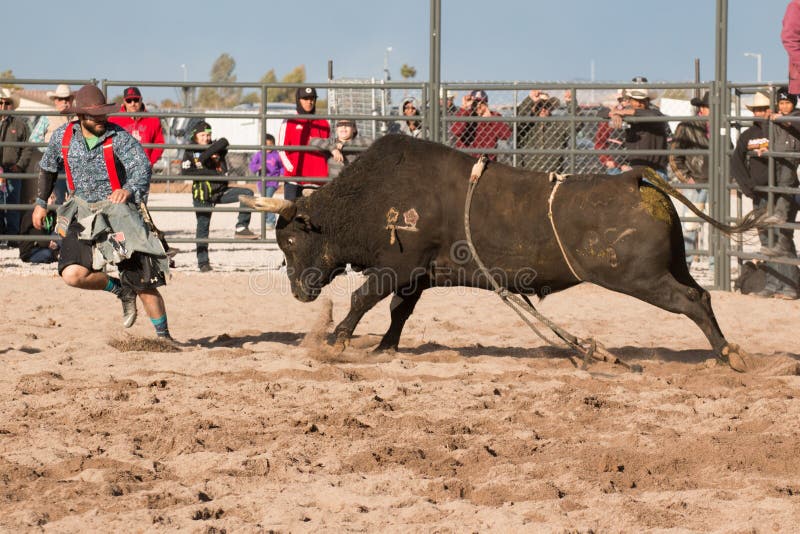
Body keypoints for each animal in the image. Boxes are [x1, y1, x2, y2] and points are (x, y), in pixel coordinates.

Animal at [245, 136, 768, 372]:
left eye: (289, 241)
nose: (299, 292)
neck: (375, 196)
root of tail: (634, 178)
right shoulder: (418, 274)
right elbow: (398, 311)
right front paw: (386, 346)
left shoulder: (397, 265)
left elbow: (364, 299)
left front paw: (335, 340)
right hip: (669, 266)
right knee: (702, 295)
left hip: (640, 277)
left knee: (693, 302)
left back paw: (729, 355)